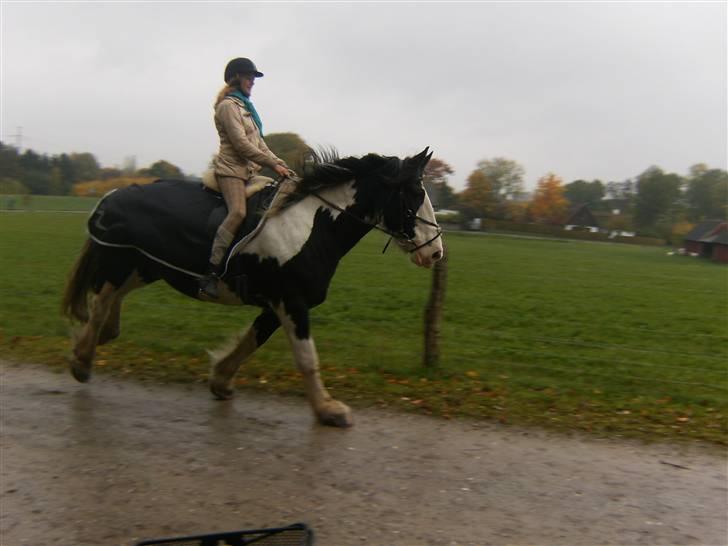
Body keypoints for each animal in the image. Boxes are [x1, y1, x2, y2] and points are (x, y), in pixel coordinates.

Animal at [61, 148, 444, 424]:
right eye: (415, 193)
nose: (436, 251)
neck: (310, 226)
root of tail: (110, 196)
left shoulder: (278, 305)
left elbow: (251, 342)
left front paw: (221, 381)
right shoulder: (291, 301)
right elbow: (307, 357)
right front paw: (328, 410)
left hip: (142, 268)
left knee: (109, 306)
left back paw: (92, 343)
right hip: (121, 265)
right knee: (101, 305)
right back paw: (82, 360)